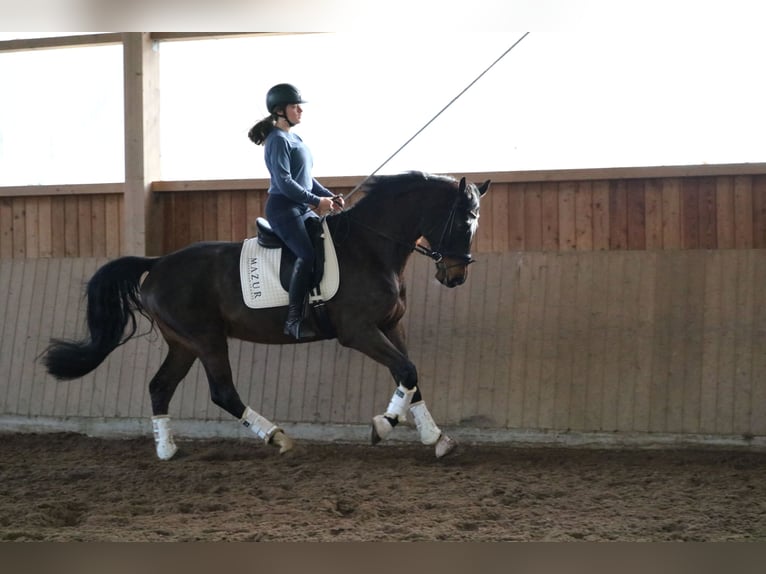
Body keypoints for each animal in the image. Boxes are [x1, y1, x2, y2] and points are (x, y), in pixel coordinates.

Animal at [43, 172, 492, 464]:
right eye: (463, 221)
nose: (455, 276)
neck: (370, 246)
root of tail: (158, 263)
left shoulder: (389, 326)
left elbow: (410, 376)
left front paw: (436, 438)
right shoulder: (359, 331)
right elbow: (406, 371)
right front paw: (382, 426)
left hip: (184, 343)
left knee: (160, 386)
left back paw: (167, 449)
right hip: (207, 340)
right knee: (223, 392)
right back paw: (278, 438)